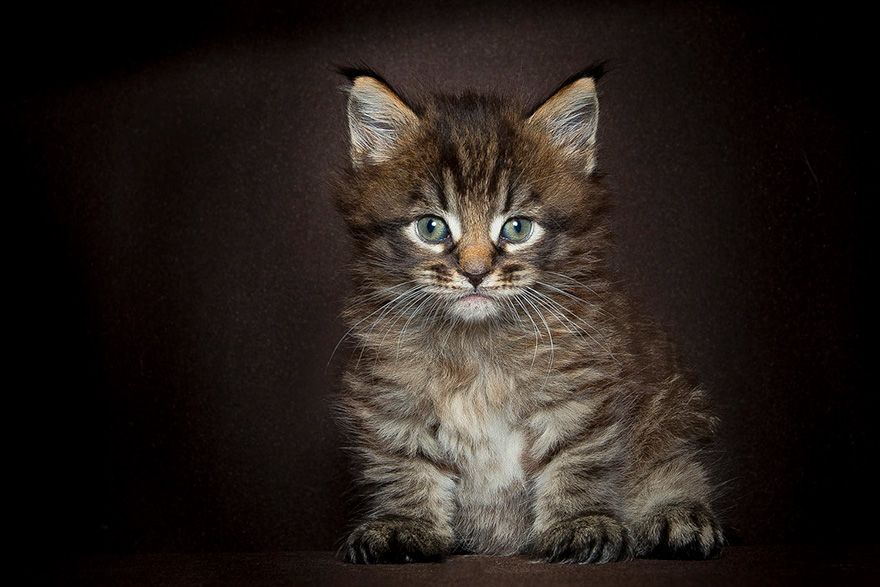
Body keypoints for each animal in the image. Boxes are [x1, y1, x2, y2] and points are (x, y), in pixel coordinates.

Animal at [332, 66, 720, 564]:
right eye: (431, 227)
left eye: (517, 228)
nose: (475, 273)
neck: (476, 347)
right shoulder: (391, 399)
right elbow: (404, 467)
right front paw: (405, 525)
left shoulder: (580, 390)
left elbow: (576, 461)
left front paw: (580, 524)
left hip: (672, 420)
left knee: (677, 471)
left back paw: (677, 516)